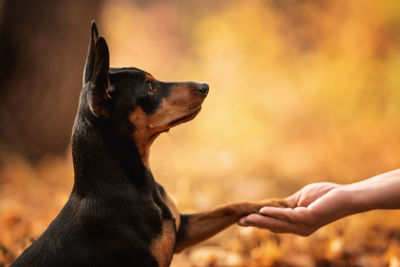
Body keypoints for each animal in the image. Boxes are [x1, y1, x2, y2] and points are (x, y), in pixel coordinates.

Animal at [10, 21, 290, 267]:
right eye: (149, 87)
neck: (134, 183)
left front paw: (278, 203)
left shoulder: (183, 230)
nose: (205, 86)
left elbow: (228, 206)